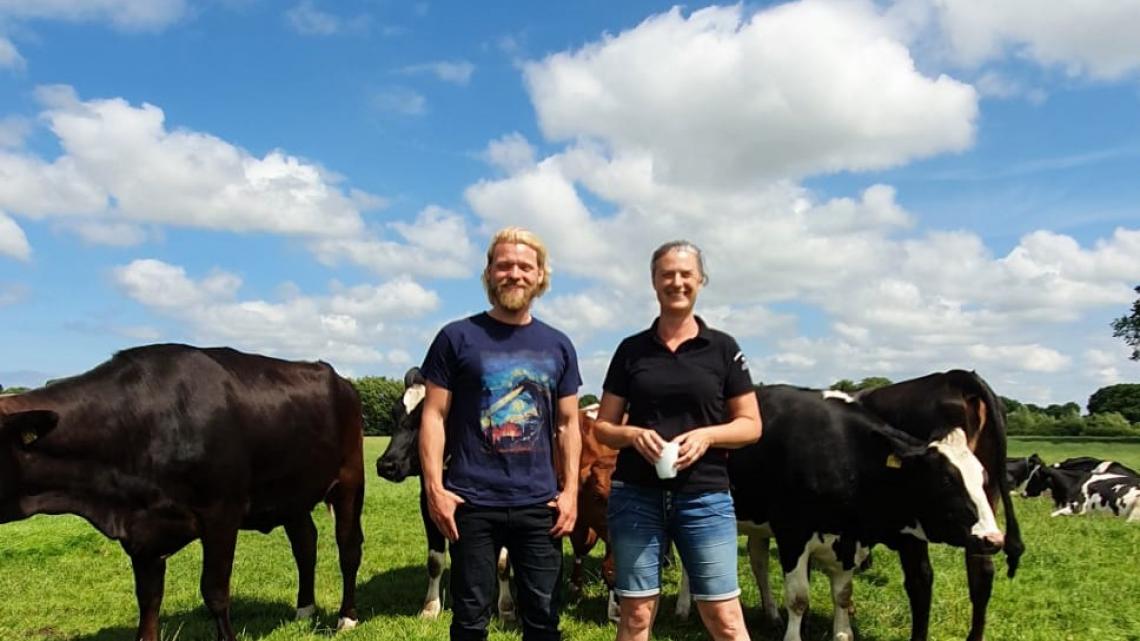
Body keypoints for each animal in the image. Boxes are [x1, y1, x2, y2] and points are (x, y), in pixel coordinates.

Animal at [0, 344, 362, 638]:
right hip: (291, 494)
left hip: (349, 480)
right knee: (305, 544)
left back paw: (346, 618)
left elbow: (215, 591)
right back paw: (304, 610)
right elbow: (148, 601)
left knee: (348, 548)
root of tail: (339, 380)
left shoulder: (221, 513)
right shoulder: (142, 531)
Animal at [373, 369, 517, 620]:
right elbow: (435, 560)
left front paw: (506, 607)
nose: (386, 465)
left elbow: (502, 561)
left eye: (424, 418)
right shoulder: (428, 503)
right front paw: (430, 607)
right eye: (394, 413)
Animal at [670, 380, 1003, 638]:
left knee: (756, 561)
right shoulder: (793, 533)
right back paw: (684, 608)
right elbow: (799, 598)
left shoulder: (848, 541)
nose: (993, 539)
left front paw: (842, 632)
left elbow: (843, 596)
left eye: (983, 477)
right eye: (946, 480)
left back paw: (770, 613)